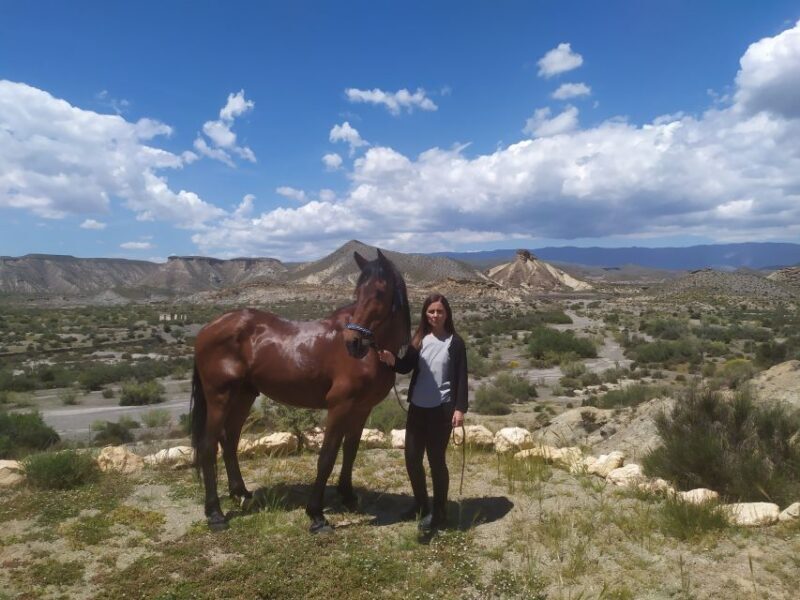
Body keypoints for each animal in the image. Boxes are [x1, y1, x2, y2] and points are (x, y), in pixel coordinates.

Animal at [190, 249, 410, 533]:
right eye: (358, 292)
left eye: (380, 292)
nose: (353, 342)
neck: (374, 354)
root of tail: (208, 329)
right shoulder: (340, 406)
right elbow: (327, 456)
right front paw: (316, 515)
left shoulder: (362, 408)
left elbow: (350, 451)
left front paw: (348, 496)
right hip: (219, 397)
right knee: (208, 447)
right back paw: (215, 514)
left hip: (243, 396)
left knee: (229, 441)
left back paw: (242, 494)